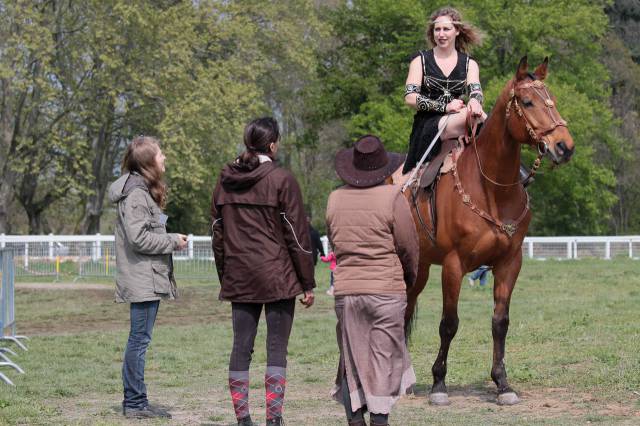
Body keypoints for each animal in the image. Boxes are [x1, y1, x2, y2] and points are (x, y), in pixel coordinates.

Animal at [404, 57, 576, 406]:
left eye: (551, 98)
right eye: (527, 101)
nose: (564, 146)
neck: (492, 189)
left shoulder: (509, 263)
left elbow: (500, 322)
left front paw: (502, 383)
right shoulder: (454, 265)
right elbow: (449, 324)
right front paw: (439, 384)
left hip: (422, 268)